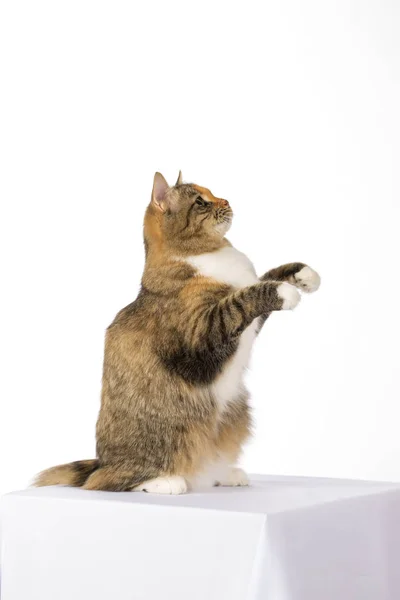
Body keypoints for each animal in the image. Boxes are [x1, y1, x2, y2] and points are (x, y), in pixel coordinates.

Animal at [35, 171, 322, 494]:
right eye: (200, 202)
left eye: (212, 193)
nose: (226, 201)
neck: (208, 254)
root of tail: (100, 463)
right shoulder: (203, 335)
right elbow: (245, 297)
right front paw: (284, 292)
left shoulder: (251, 323)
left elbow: (265, 277)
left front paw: (304, 275)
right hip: (165, 436)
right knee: (112, 481)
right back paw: (165, 481)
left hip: (237, 412)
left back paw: (223, 474)